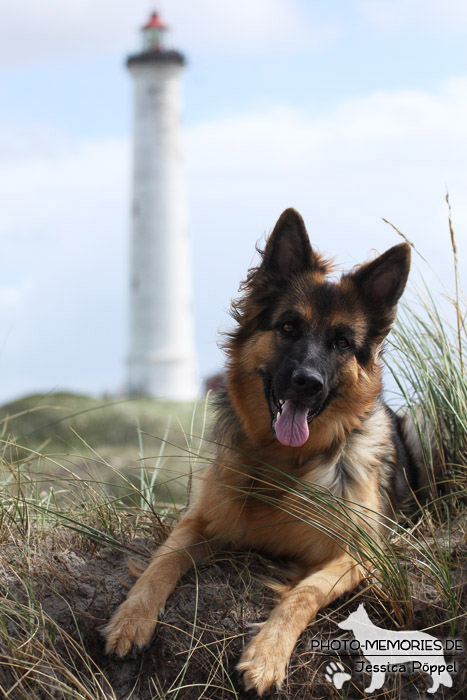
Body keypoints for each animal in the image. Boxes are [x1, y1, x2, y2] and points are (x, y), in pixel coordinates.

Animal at [104, 206, 426, 696]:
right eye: (288, 326)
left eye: (342, 343)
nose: (307, 383)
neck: (286, 462)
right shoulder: (199, 521)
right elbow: (162, 561)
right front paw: (131, 619)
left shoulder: (363, 554)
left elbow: (305, 592)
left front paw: (266, 656)